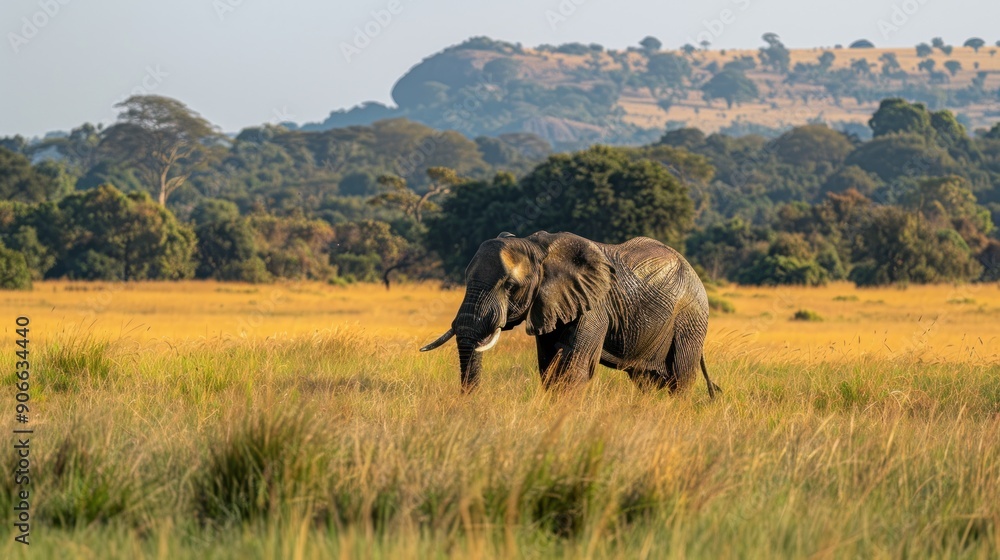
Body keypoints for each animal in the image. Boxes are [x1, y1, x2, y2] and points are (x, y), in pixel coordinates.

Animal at [420, 231, 720, 397]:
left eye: (510, 286)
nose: (468, 402)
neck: (536, 246)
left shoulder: (593, 307)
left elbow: (574, 366)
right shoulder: (548, 305)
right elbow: (549, 367)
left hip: (690, 320)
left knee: (680, 378)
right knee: (647, 380)